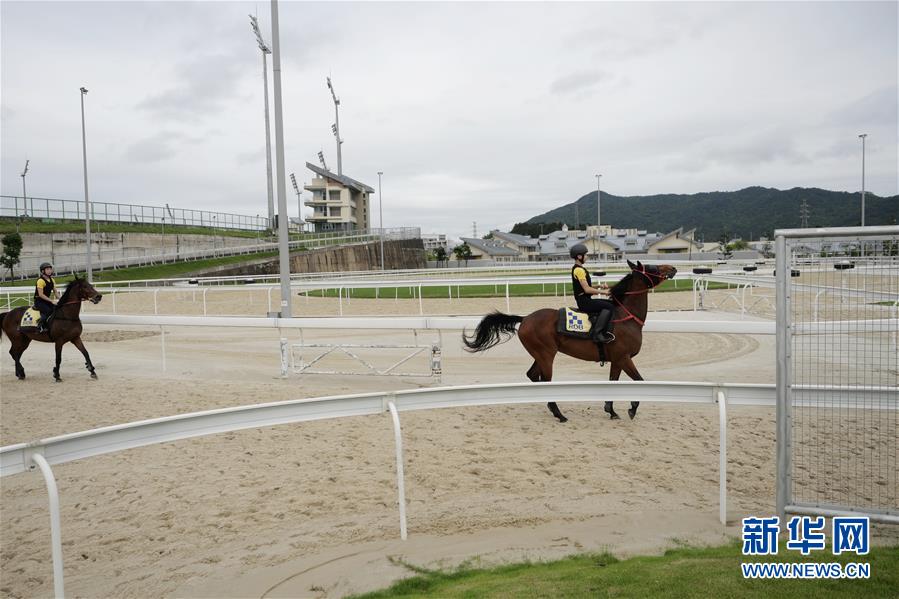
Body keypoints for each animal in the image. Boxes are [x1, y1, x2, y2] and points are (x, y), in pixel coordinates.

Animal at [464, 262, 676, 422]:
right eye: (653, 267)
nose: (672, 268)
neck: (626, 316)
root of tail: (525, 318)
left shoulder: (617, 360)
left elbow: (613, 382)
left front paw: (611, 410)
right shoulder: (624, 358)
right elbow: (640, 381)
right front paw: (632, 407)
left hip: (541, 355)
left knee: (533, 375)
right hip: (546, 355)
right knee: (545, 380)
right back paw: (559, 414)